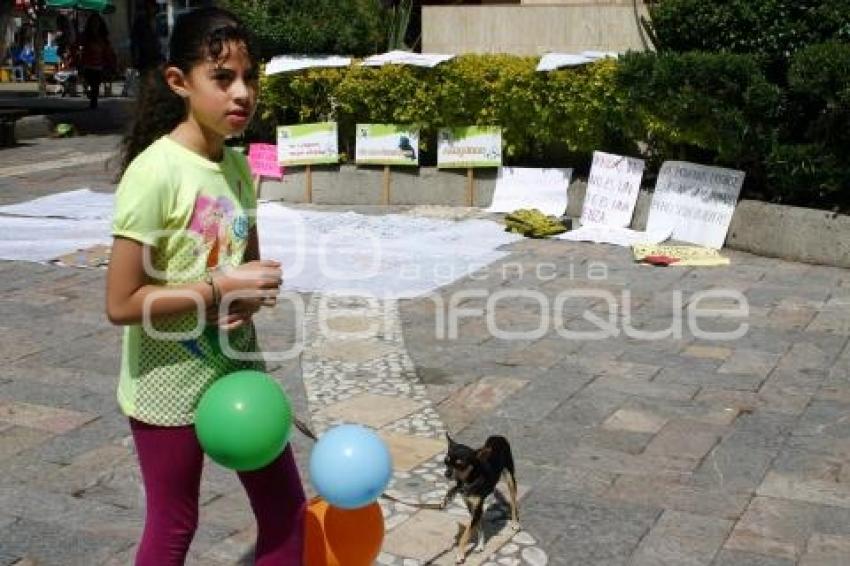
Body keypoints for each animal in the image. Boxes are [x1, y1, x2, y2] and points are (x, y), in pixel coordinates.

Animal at [444, 434, 516, 564]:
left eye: (460, 464)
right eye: (446, 461)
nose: (446, 474)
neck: (469, 480)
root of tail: (498, 436)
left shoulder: (477, 508)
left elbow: (466, 534)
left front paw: (460, 554)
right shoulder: (471, 506)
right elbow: (478, 527)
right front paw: (480, 546)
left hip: (510, 477)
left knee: (513, 502)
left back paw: (515, 523)